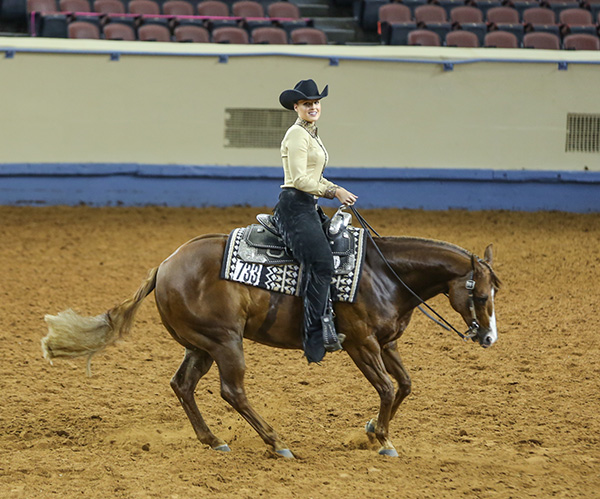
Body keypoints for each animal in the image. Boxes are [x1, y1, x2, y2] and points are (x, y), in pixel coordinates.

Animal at [41, 229, 502, 458]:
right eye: (480, 295)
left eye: (495, 292)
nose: (489, 337)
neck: (381, 273)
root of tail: (166, 264)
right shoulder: (361, 344)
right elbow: (388, 388)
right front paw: (384, 441)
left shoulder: (386, 343)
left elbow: (404, 385)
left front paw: (373, 429)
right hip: (225, 342)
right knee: (232, 391)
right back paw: (277, 443)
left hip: (201, 346)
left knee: (182, 385)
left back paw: (213, 440)